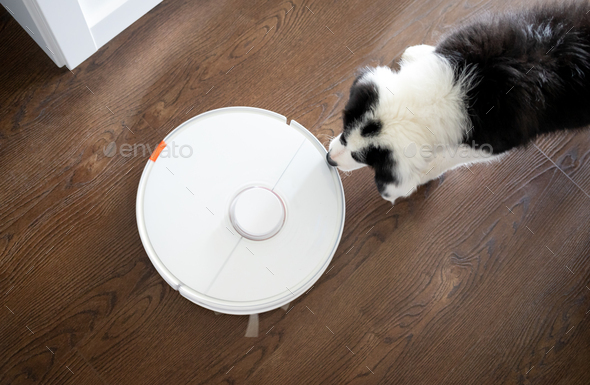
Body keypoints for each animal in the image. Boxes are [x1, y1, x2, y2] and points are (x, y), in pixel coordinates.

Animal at [326, 2, 590, 204]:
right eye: (344, 133)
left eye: (361, 158)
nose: (329, 159)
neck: (449, 94)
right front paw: (416, 54)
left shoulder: (488, 143)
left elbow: (451, 157)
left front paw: (418, 177)